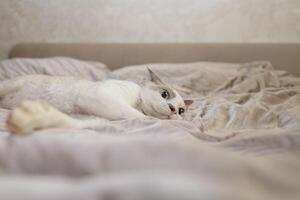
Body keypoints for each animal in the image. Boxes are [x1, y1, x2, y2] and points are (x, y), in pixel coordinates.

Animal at [0, 68, 192, 134]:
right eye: (164, 94)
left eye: (181, 111)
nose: (173, 110)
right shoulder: (100, 96)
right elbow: (141, 116)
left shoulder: (87, 121)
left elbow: (59, 120)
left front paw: (25, 119)